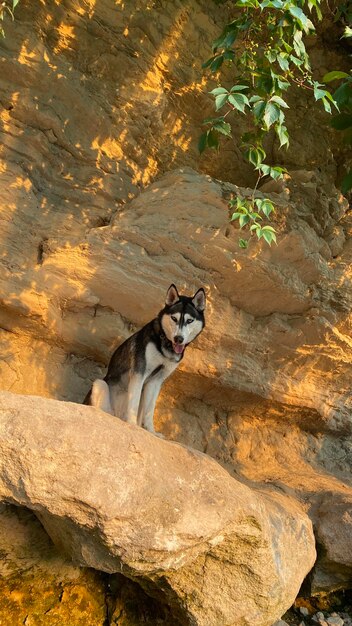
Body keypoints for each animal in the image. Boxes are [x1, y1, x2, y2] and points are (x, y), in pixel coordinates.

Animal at [84, 282, 206, 434]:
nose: (179, 339)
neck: (164, 346)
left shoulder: (156, 381)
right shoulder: (139, 373)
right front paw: (131, 424)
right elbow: (134, 403)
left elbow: (149, 410)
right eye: (174, 318)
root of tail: (117, 415)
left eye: (189, 320)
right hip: (100, 383)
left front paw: (151, 431)